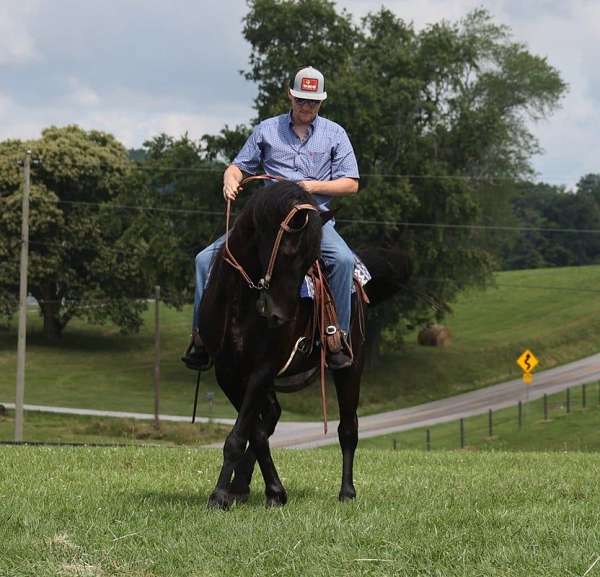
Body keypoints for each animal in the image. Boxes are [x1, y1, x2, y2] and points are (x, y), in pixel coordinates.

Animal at [199, 181, 410, 508]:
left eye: (311, 261)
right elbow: (253, 432)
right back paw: (243, 485)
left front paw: (220, 495)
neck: (241, 303)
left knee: (347, 428)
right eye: (286, 252)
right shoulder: (228, 373)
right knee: (271, 417)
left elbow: (240, 435)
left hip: (352, 368)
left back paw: (347, 491)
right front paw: (266, 490)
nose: (279, 316)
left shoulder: (262, 369)